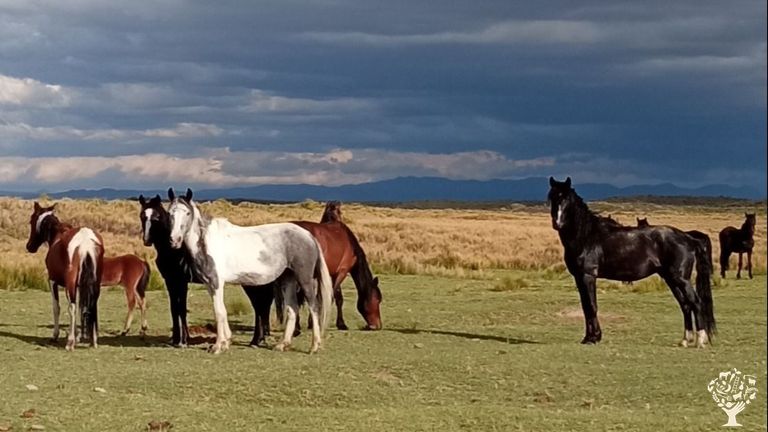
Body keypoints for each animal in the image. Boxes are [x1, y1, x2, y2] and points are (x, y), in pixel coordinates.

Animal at [26, 202, 104, 350]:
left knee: (72, 307)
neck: (57, 234)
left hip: (70, 283)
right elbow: (81, 306)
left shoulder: (53, 281)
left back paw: (70, 342)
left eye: (31, 221)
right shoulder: (79, 285)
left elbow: (57, 307)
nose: (29, 246)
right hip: (94, 284)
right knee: (92, 305)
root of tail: (85, 241)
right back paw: (94, 340)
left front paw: (57, 335)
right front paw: (78, 335)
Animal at [167, 188, 333, 354]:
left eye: (187, 213)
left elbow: (219, 312)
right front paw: (226, 342)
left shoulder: (216, 283)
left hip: (304, 279)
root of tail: (308, 236)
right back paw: (282, 344)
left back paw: (314, 346)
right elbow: (222, 311)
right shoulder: (210, 285)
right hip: (288, 279)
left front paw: (217, 346)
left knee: (314, 307)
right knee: (292, 309)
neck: (206, 241)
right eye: (170, 213)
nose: (175, 240)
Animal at [243, 200, 382, 346]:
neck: (349, 242)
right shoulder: (341, 272)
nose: (377, 325)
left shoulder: (331, 273)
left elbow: (330, 297)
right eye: (378, 299)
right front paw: (338, 323)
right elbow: (331, 298)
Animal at [548, 177, 715, 347]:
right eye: (552, 197)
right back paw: (685, 340)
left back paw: (700, 340)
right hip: (670, 278)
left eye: (566, 199)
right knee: (685, 305)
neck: (586, 236)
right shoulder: (579, 277)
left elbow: (591, 306)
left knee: (696, 302)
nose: (557, 223)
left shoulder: (587, 276)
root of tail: (688, 238)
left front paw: (593, 338)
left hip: (681, 278)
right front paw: (589, 337)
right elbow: (585, 307)